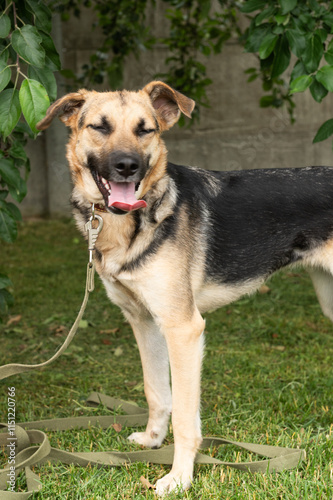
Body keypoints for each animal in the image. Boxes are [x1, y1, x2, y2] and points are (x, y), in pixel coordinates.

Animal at [36, 80, 332, 494]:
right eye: (100, 127)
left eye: (146, 129)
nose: (128, 166)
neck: (130, 226)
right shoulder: (144, 322)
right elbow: (156, 392)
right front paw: (152, 441)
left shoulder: (184, 329)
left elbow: (185, 416)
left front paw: (178, 478)